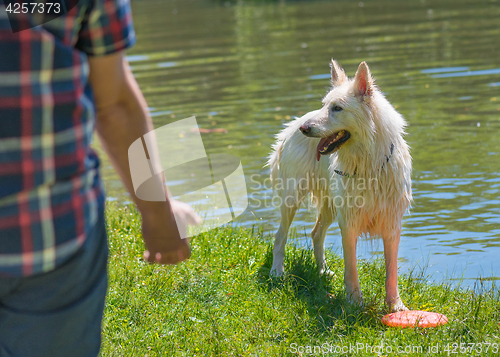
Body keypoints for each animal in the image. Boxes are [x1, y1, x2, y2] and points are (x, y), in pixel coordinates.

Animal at [268, 59, 412, 310]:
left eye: (337, 108)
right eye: (325, 106)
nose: (305, 129)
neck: (368, 164)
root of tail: (292, 124)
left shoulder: (392, 225)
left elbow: (391, 271)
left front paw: (395, 306)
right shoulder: (349, 223)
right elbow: (351, 268)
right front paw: (354, 302)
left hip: (330, 207)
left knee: (316, 234)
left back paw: (323, 272)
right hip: (292, 200)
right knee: (280, 237)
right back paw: (277, 273)